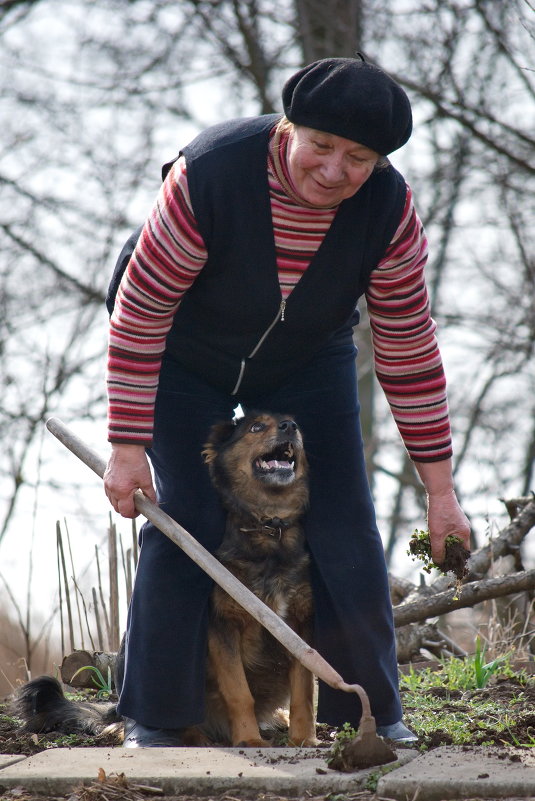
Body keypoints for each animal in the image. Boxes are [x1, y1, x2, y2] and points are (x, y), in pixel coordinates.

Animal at [13, 412, 318, 752]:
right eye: (256, 427)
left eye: (291, 422)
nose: (291, 427)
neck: (267, 525)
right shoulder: (223, 627)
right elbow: (240, 692)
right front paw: (250, 739)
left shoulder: (301, 623)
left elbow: (304, 691)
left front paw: (305, 739)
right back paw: (187, 738)